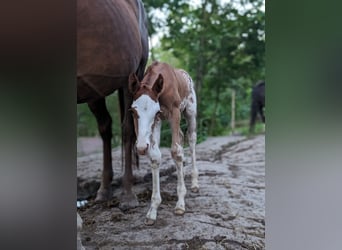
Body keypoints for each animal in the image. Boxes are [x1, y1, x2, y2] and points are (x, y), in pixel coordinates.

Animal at [77, 0, 148, 207]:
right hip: (93, 90)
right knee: (105, 128)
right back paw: (104, 190)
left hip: (132, 78)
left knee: (127, 129)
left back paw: (128, 194)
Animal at [128, 62, 198, 225]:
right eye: (133, 112)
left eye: (154, 112)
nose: (141, 147)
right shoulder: (159, 120)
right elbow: (155, 156)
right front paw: (152, 210)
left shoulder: (173, 112)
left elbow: (176, 151)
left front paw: (180, 203)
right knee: (181, 136)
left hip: (190, 111)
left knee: (191, 139)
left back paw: (194, 183)